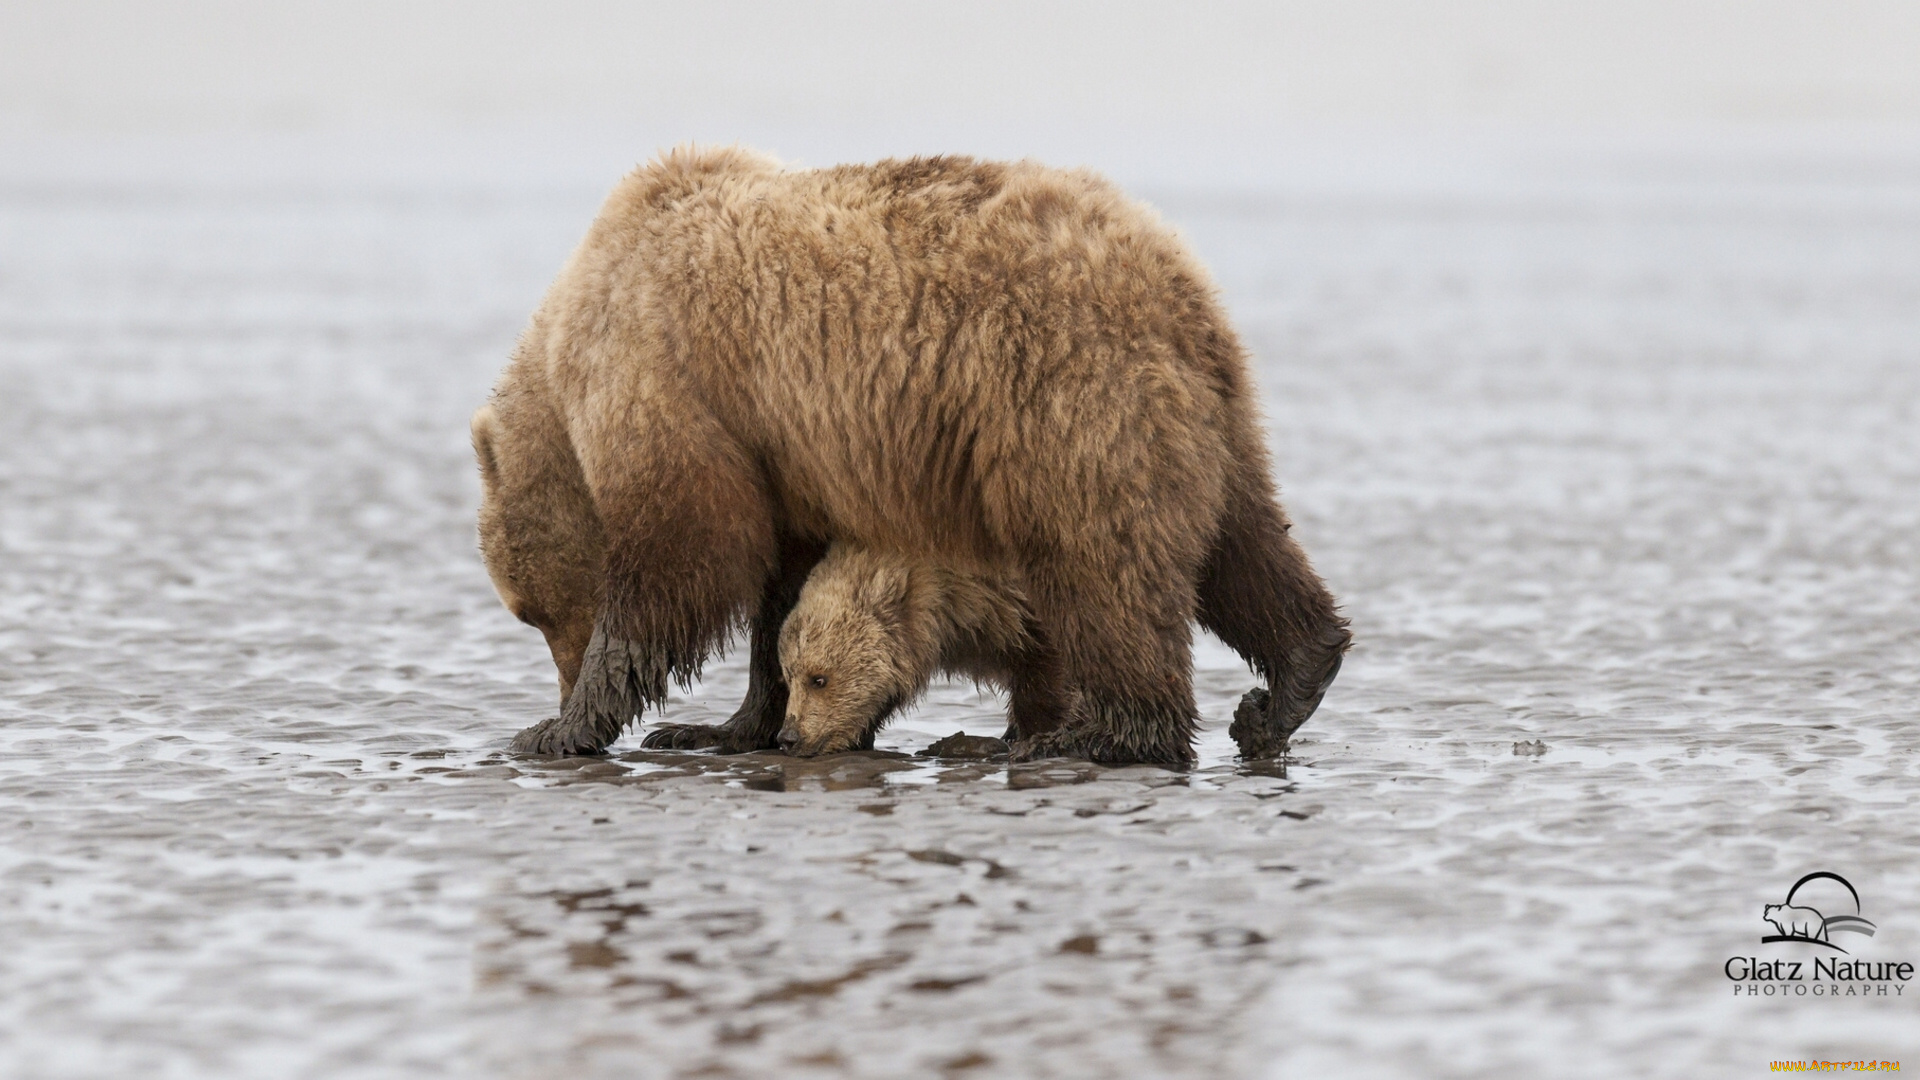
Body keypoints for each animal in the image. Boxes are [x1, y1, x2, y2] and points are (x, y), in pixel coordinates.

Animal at [474, 147, 1351, 760]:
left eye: (532, 612)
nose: (559, 676)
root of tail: (1179, 287)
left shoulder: (676, 382)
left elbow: (681, 550)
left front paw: (562, 726)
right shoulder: (784, 454)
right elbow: (783, 590)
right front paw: (728, 724)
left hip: (1064, 398)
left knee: (1102, 563)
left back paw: (1090, 735)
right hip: (1210, 421)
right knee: (1244, 542)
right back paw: (1288, 684)